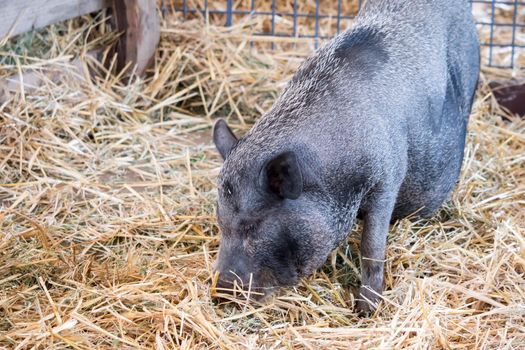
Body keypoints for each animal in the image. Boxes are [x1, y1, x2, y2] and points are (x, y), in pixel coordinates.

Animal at [210, 0, 478, 312]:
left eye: (253, 225)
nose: (219, 291)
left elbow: (371, 247)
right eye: (221, 221)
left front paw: (366, 310)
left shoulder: (387, 178)